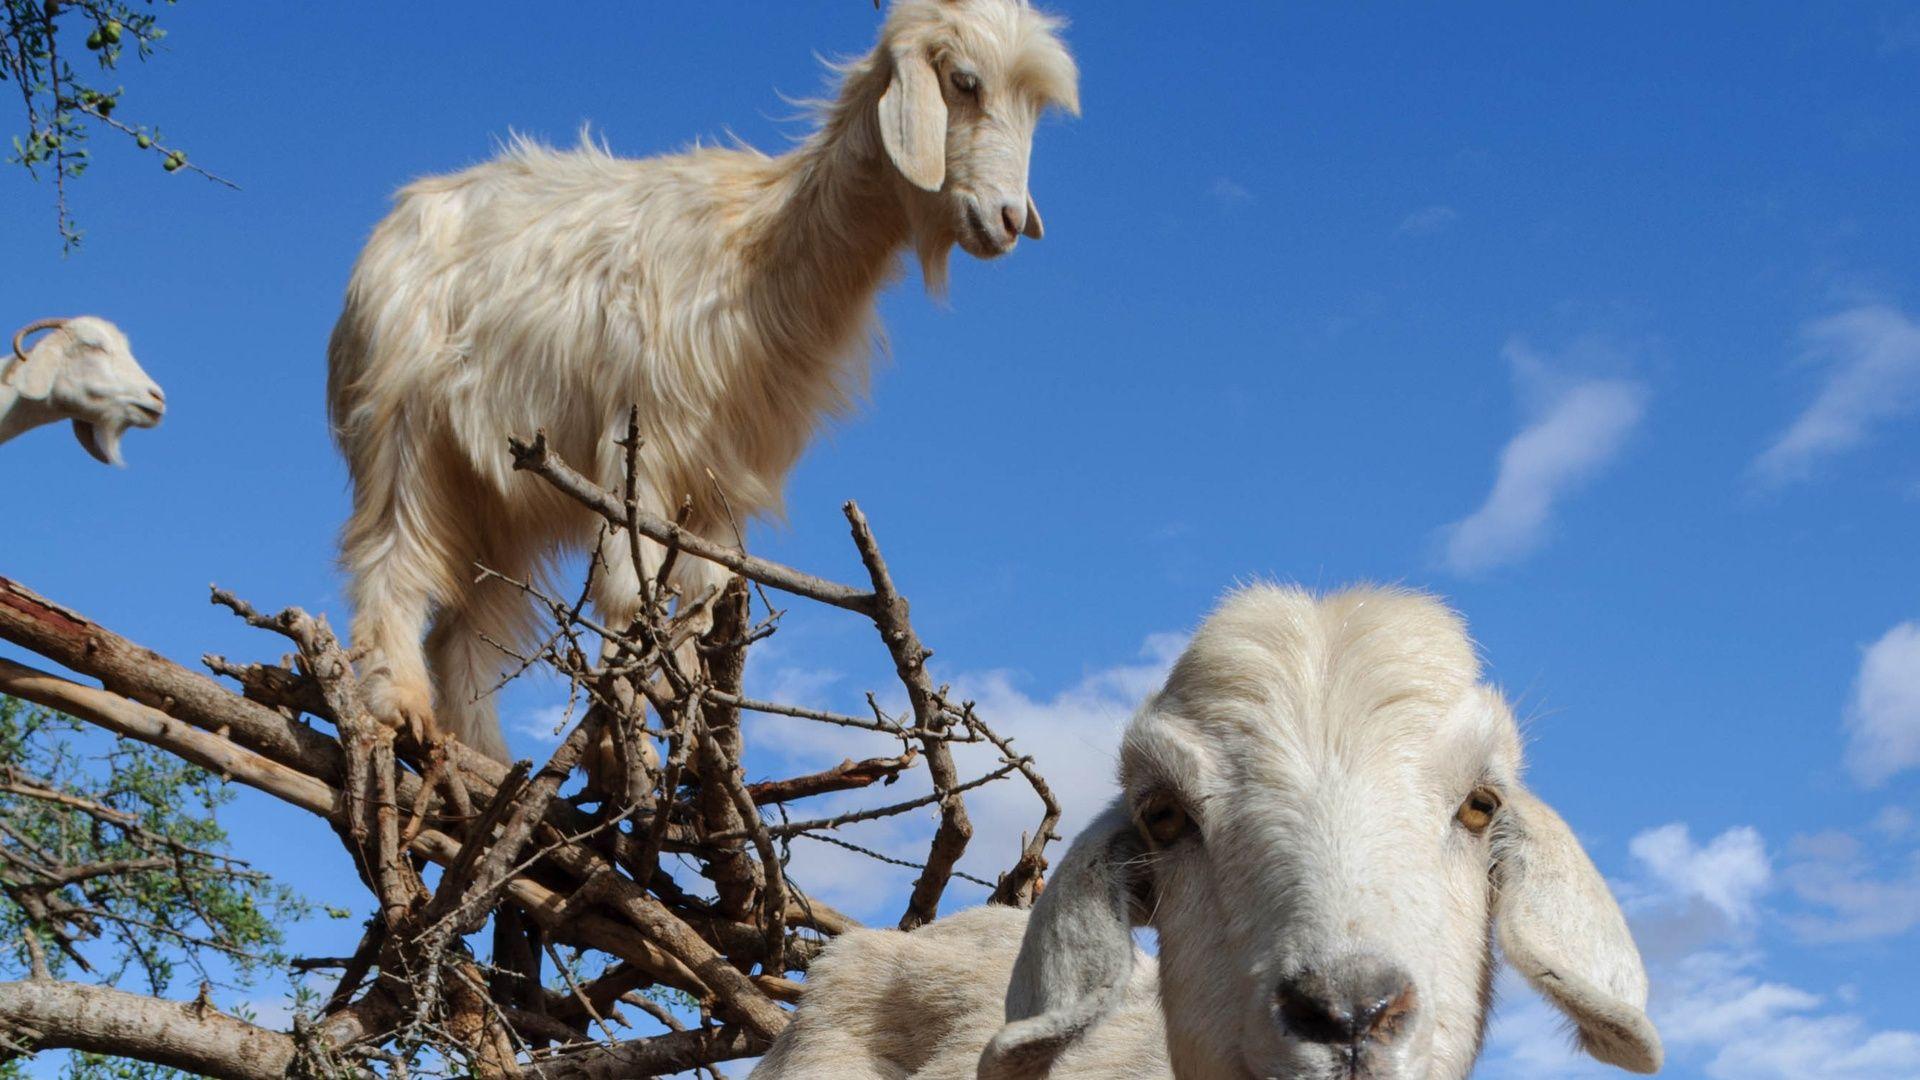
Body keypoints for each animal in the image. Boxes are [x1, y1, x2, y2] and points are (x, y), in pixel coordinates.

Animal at [326, 0, 1079, 760]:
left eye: (1036, 109)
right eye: (963, 82)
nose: (1007, 220)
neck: (755, 248)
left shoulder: (717, 481)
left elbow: (697, 598)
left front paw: (685, 711)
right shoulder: (640, 445)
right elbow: (630, 591)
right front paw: (630, 733)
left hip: (504, 492)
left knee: (467, 623)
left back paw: (484, 756)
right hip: (403, 429)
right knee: (390, 558)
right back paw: (402, 707)